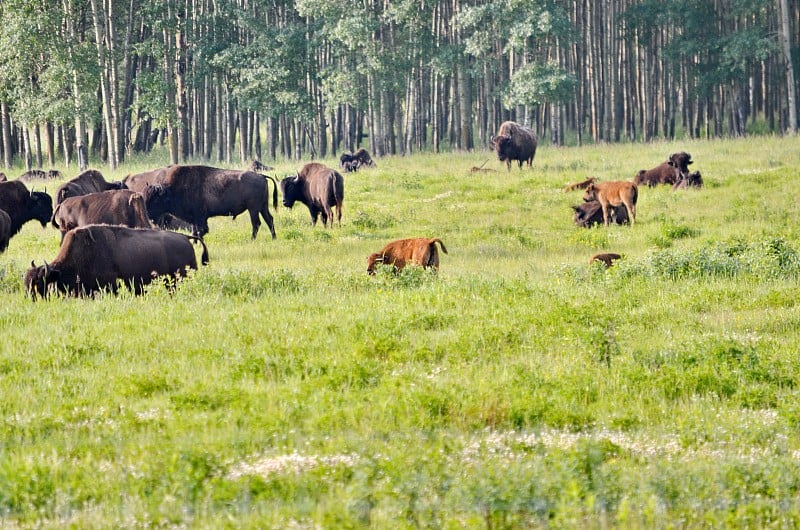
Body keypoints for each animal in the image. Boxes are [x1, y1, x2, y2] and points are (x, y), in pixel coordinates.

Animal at [143, 165, 278, 239]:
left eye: (155, 200)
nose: (148, 214)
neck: (172, 190)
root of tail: (261, 176)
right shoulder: (195, 219)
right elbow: (195, 231)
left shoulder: (200, 217)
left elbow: (200, 231)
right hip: (263, 207)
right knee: (269, 220)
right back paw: (274, 238)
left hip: (253, 209)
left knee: (256, 223)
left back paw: (252, 239)